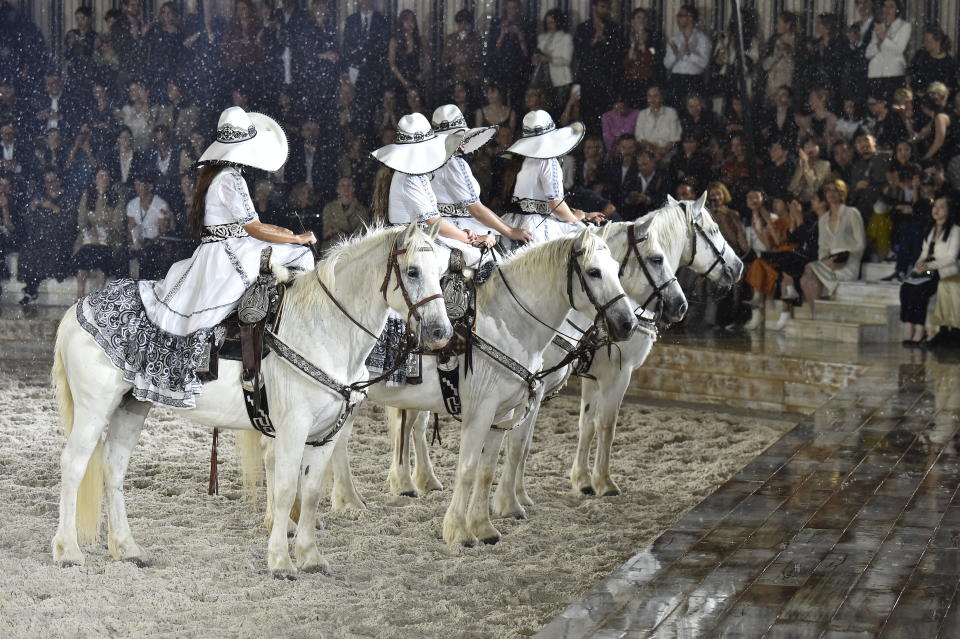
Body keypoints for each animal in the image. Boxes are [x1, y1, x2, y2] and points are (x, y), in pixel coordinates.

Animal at [52, 222, 454, 576]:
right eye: (413, 271)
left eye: (442, 271)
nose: (441, 331)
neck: (321, 329)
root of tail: (76, 310)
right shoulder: (293, 428)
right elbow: (285, 489)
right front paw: (280, 561)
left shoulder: (326, 433)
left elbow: (310, 492)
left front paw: (310, 557)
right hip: (94, 409)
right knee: (74, 465)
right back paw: (67, 550)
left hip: (131, 406)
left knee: (113, 469)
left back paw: (127, 549)